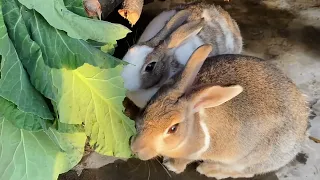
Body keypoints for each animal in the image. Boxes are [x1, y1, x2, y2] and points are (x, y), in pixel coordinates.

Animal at [130, 44, 310, 179]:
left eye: (173, 129)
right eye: (147, 106)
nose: (135, 148)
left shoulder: (193, 153)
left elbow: (183, 161)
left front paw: (171, 166)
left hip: (252, 159)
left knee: (244, 172)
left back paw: (209, 170)